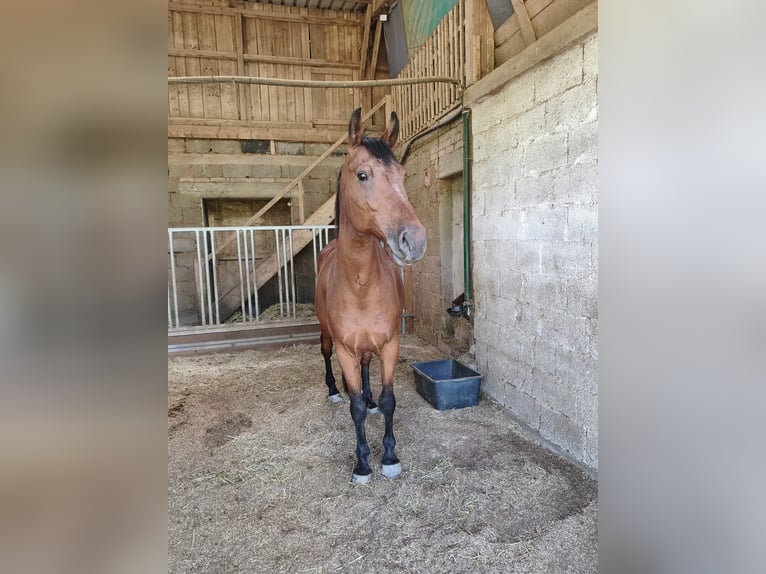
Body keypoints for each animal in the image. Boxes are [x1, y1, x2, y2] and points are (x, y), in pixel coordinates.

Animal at [314, 108, 427, 484]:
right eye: (363, 175)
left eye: (402, 175)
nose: (415, 241)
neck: (361, 284)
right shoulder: (345, 350)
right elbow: (356, 409)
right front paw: (362, 463)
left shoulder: (390, 343)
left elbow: (389, 399)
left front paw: (389, 457)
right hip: (326, 334)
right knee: (326, 356)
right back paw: (333, 389)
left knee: (367, 369)